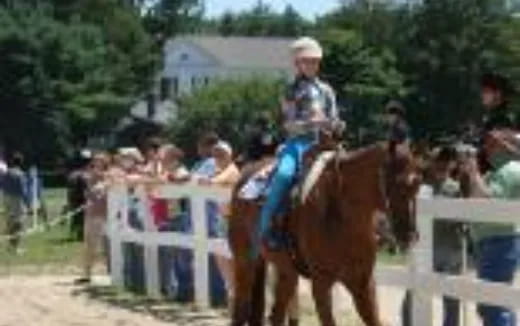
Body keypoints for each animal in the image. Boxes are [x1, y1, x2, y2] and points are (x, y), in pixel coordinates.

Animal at [230, 142, 420, 326]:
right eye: (399, 184)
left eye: (417, 185)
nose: (410, 235)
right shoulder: (321, 284)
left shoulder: (363, 285)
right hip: (244, 262)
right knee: (241, 309)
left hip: (287, 272)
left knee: (277, 313)